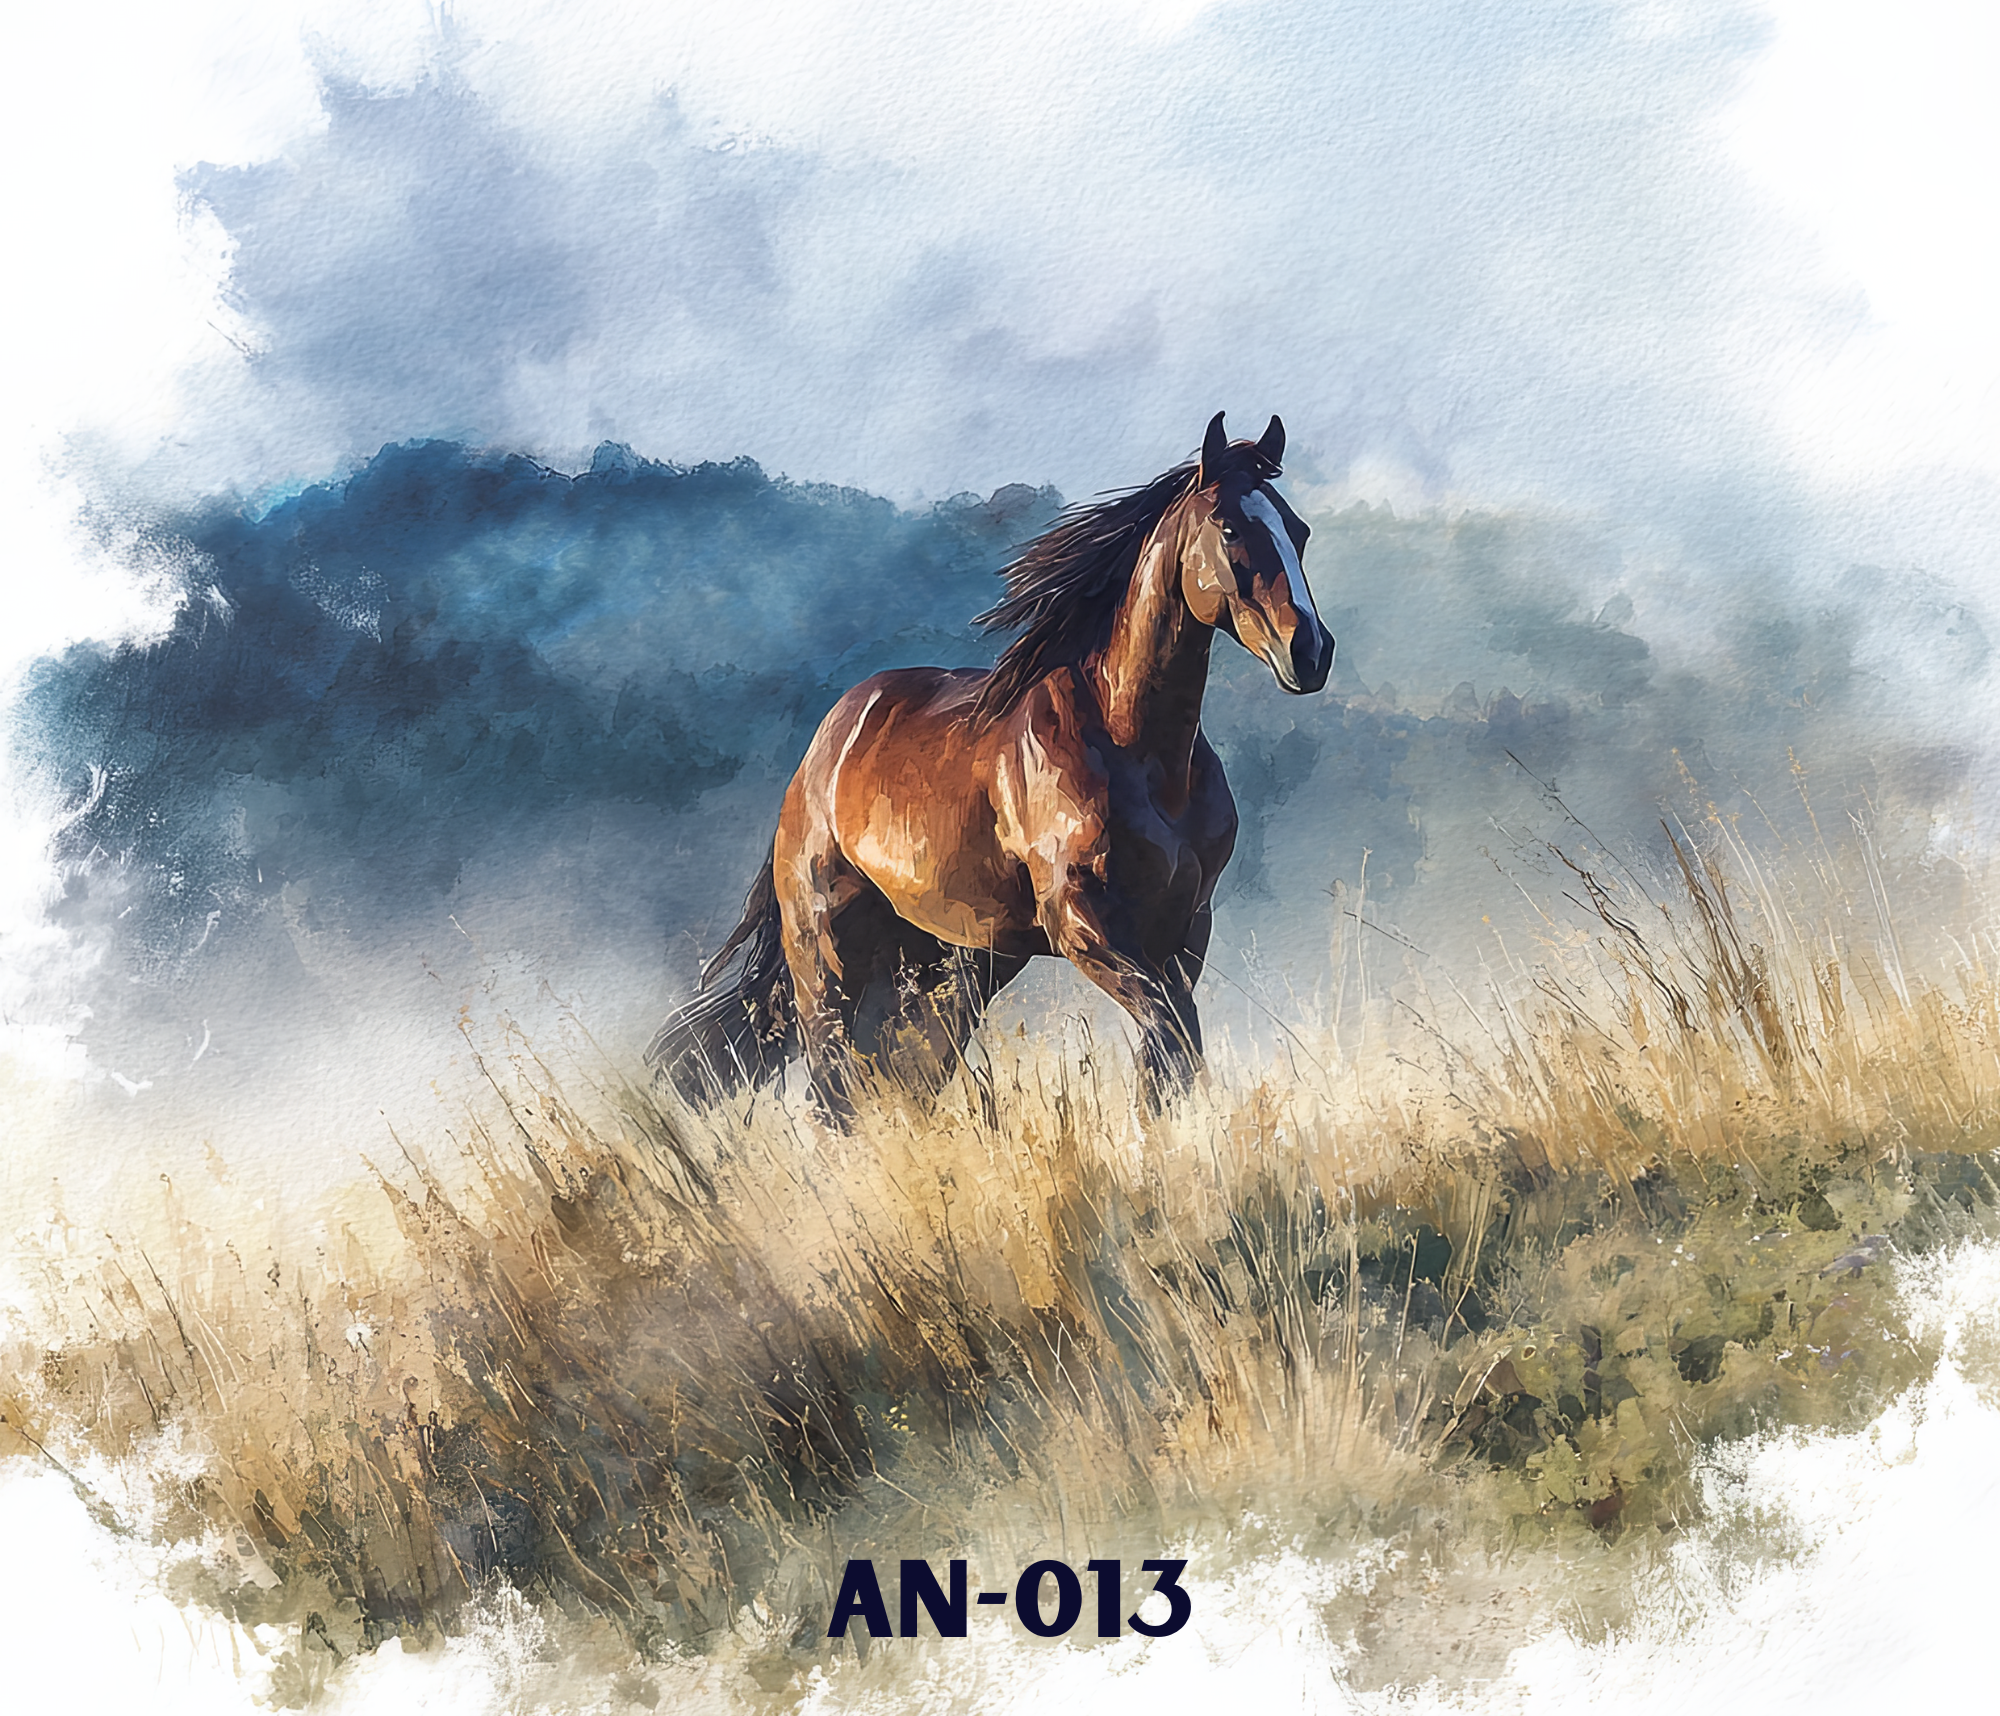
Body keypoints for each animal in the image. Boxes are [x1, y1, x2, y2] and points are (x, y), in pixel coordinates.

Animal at [648, 411, 1334, 1120]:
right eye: (1229, 529)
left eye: (1298, 529)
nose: (1310, 652)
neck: (1141, 754)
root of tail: (817, 758)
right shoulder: (1083, 924)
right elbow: (1174, 1037)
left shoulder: (1185, 928)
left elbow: (1165, 1062)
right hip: (827, 954)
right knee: (833, 1087)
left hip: (950, 964)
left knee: (901, 1075)